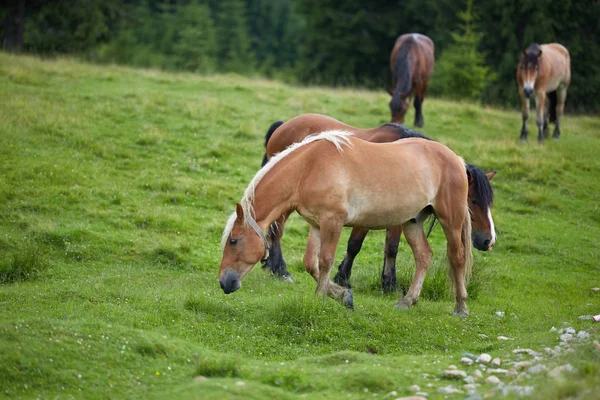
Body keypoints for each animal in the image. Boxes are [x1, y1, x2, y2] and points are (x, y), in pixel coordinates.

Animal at [220, 133, 478, 318]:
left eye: (234, 241)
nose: (224, 282)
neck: (308, 168)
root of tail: (457, 159)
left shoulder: (332, 221)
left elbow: (325, 261)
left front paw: (320, 298)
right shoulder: (317, 224)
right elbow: (311, 263)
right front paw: (342, 295)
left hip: (450, 220)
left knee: (457, 257)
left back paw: (461, 308)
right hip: (412, 222)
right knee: (424, 255)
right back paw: (407, 301)